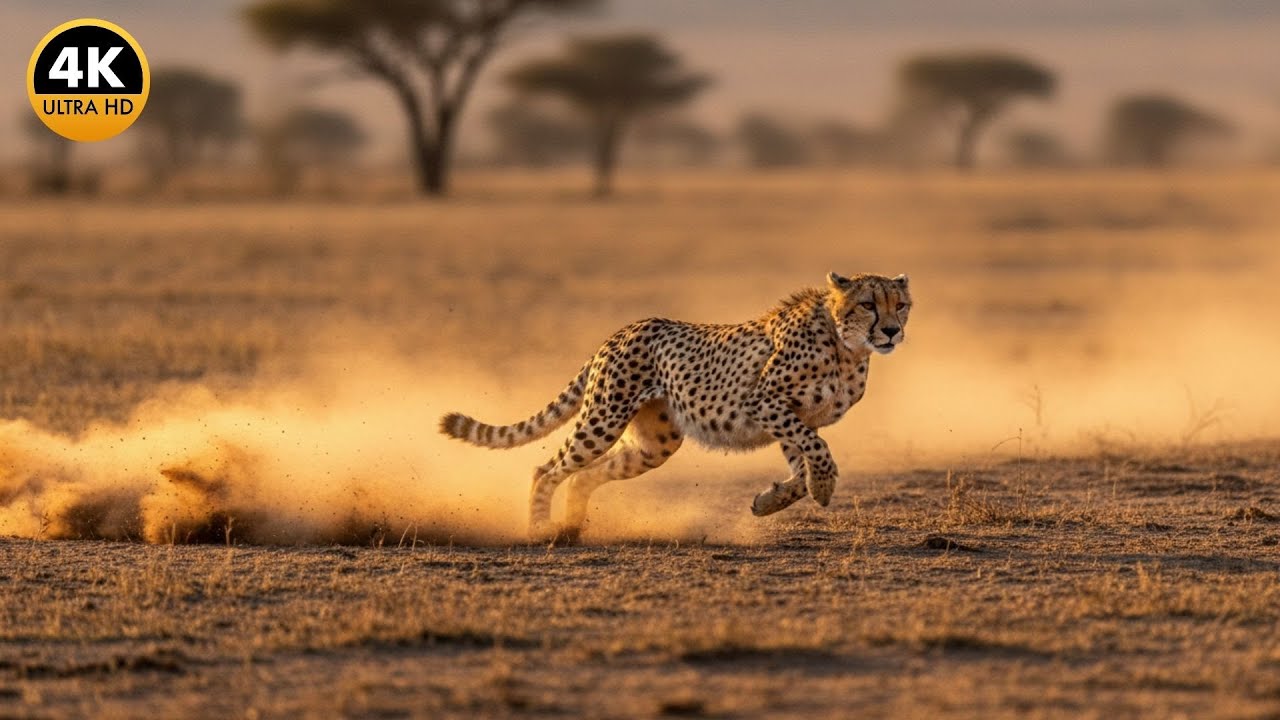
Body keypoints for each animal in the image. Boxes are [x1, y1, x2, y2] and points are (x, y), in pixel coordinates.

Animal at [439, 272, 912, 543]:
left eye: (901, 305)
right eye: (868, 304)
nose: (892, 331)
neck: (846, 345)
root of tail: (622, 330)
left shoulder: (791, 416)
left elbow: (802, 463)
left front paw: (773, 500)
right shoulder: (764, 402)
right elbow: (819, 451)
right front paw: (824, 486)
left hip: (655, 444)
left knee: (584, 476)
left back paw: (572, 528)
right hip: (604, 418)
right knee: (547, 469)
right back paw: (540, 531)